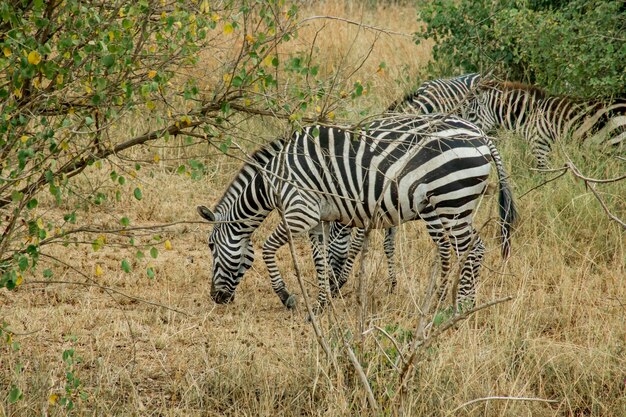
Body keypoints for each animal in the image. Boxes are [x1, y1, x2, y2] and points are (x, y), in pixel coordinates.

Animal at [197, 114, 516, 312]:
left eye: (211, 246)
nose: (215, 298)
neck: (274, 179)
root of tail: (480, 134)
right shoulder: (318, 220)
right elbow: (321, 260)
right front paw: (322, 303)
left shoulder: (300, 212)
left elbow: (266, 249)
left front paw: (287, 297)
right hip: (450, 205)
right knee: (458, 249)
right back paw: (444, 301)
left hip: (453, 201)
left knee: (473, 249)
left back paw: (461, 307)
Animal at [464, 79, 624, 167]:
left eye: (471, 115)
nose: (467, 140)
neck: (531, 115)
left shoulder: (540, 146)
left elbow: (544, 176)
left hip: (614, 145)